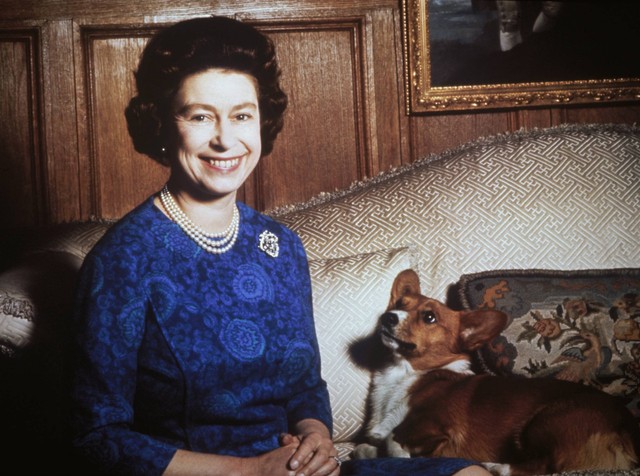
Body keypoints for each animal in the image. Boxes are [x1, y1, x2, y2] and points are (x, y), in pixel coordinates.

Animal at [356, 270, 640, 474]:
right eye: (400, 303)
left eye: (429, 317)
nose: (388, 317)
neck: (403, 375)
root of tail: (629, 427)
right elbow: (369, 446)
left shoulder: (439, 429)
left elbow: (393, 440)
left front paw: (398, 452)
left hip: (545, 420)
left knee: (546, 466)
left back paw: (496, 466)